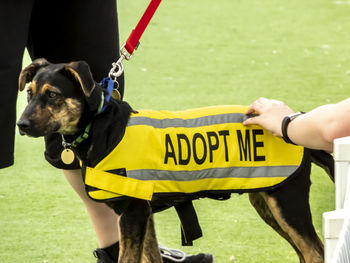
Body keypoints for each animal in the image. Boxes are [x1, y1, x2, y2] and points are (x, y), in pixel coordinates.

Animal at [17, 58, 334, 262]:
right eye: (29, 94)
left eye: (53, 95)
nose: (21, 125)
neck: (101, 126)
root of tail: (295, 119)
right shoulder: (143, 215)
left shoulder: (133, 213)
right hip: (266, 201)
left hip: (287, 203)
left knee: (315, 252)